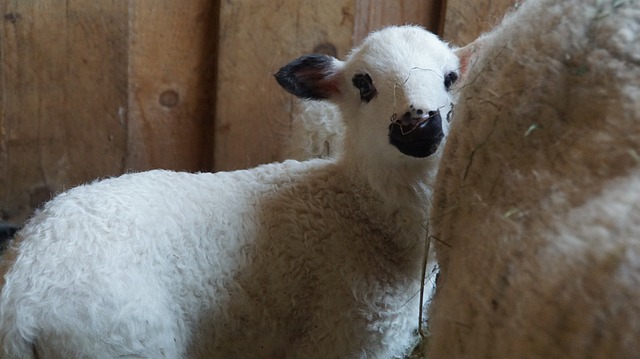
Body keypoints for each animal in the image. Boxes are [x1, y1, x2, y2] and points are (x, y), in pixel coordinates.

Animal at [0, 26, 460, 359]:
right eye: (363, 84)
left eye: (451, 78)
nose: (418, 123)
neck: (361, 210)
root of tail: (20, 301)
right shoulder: (340, 337)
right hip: (121, 344)